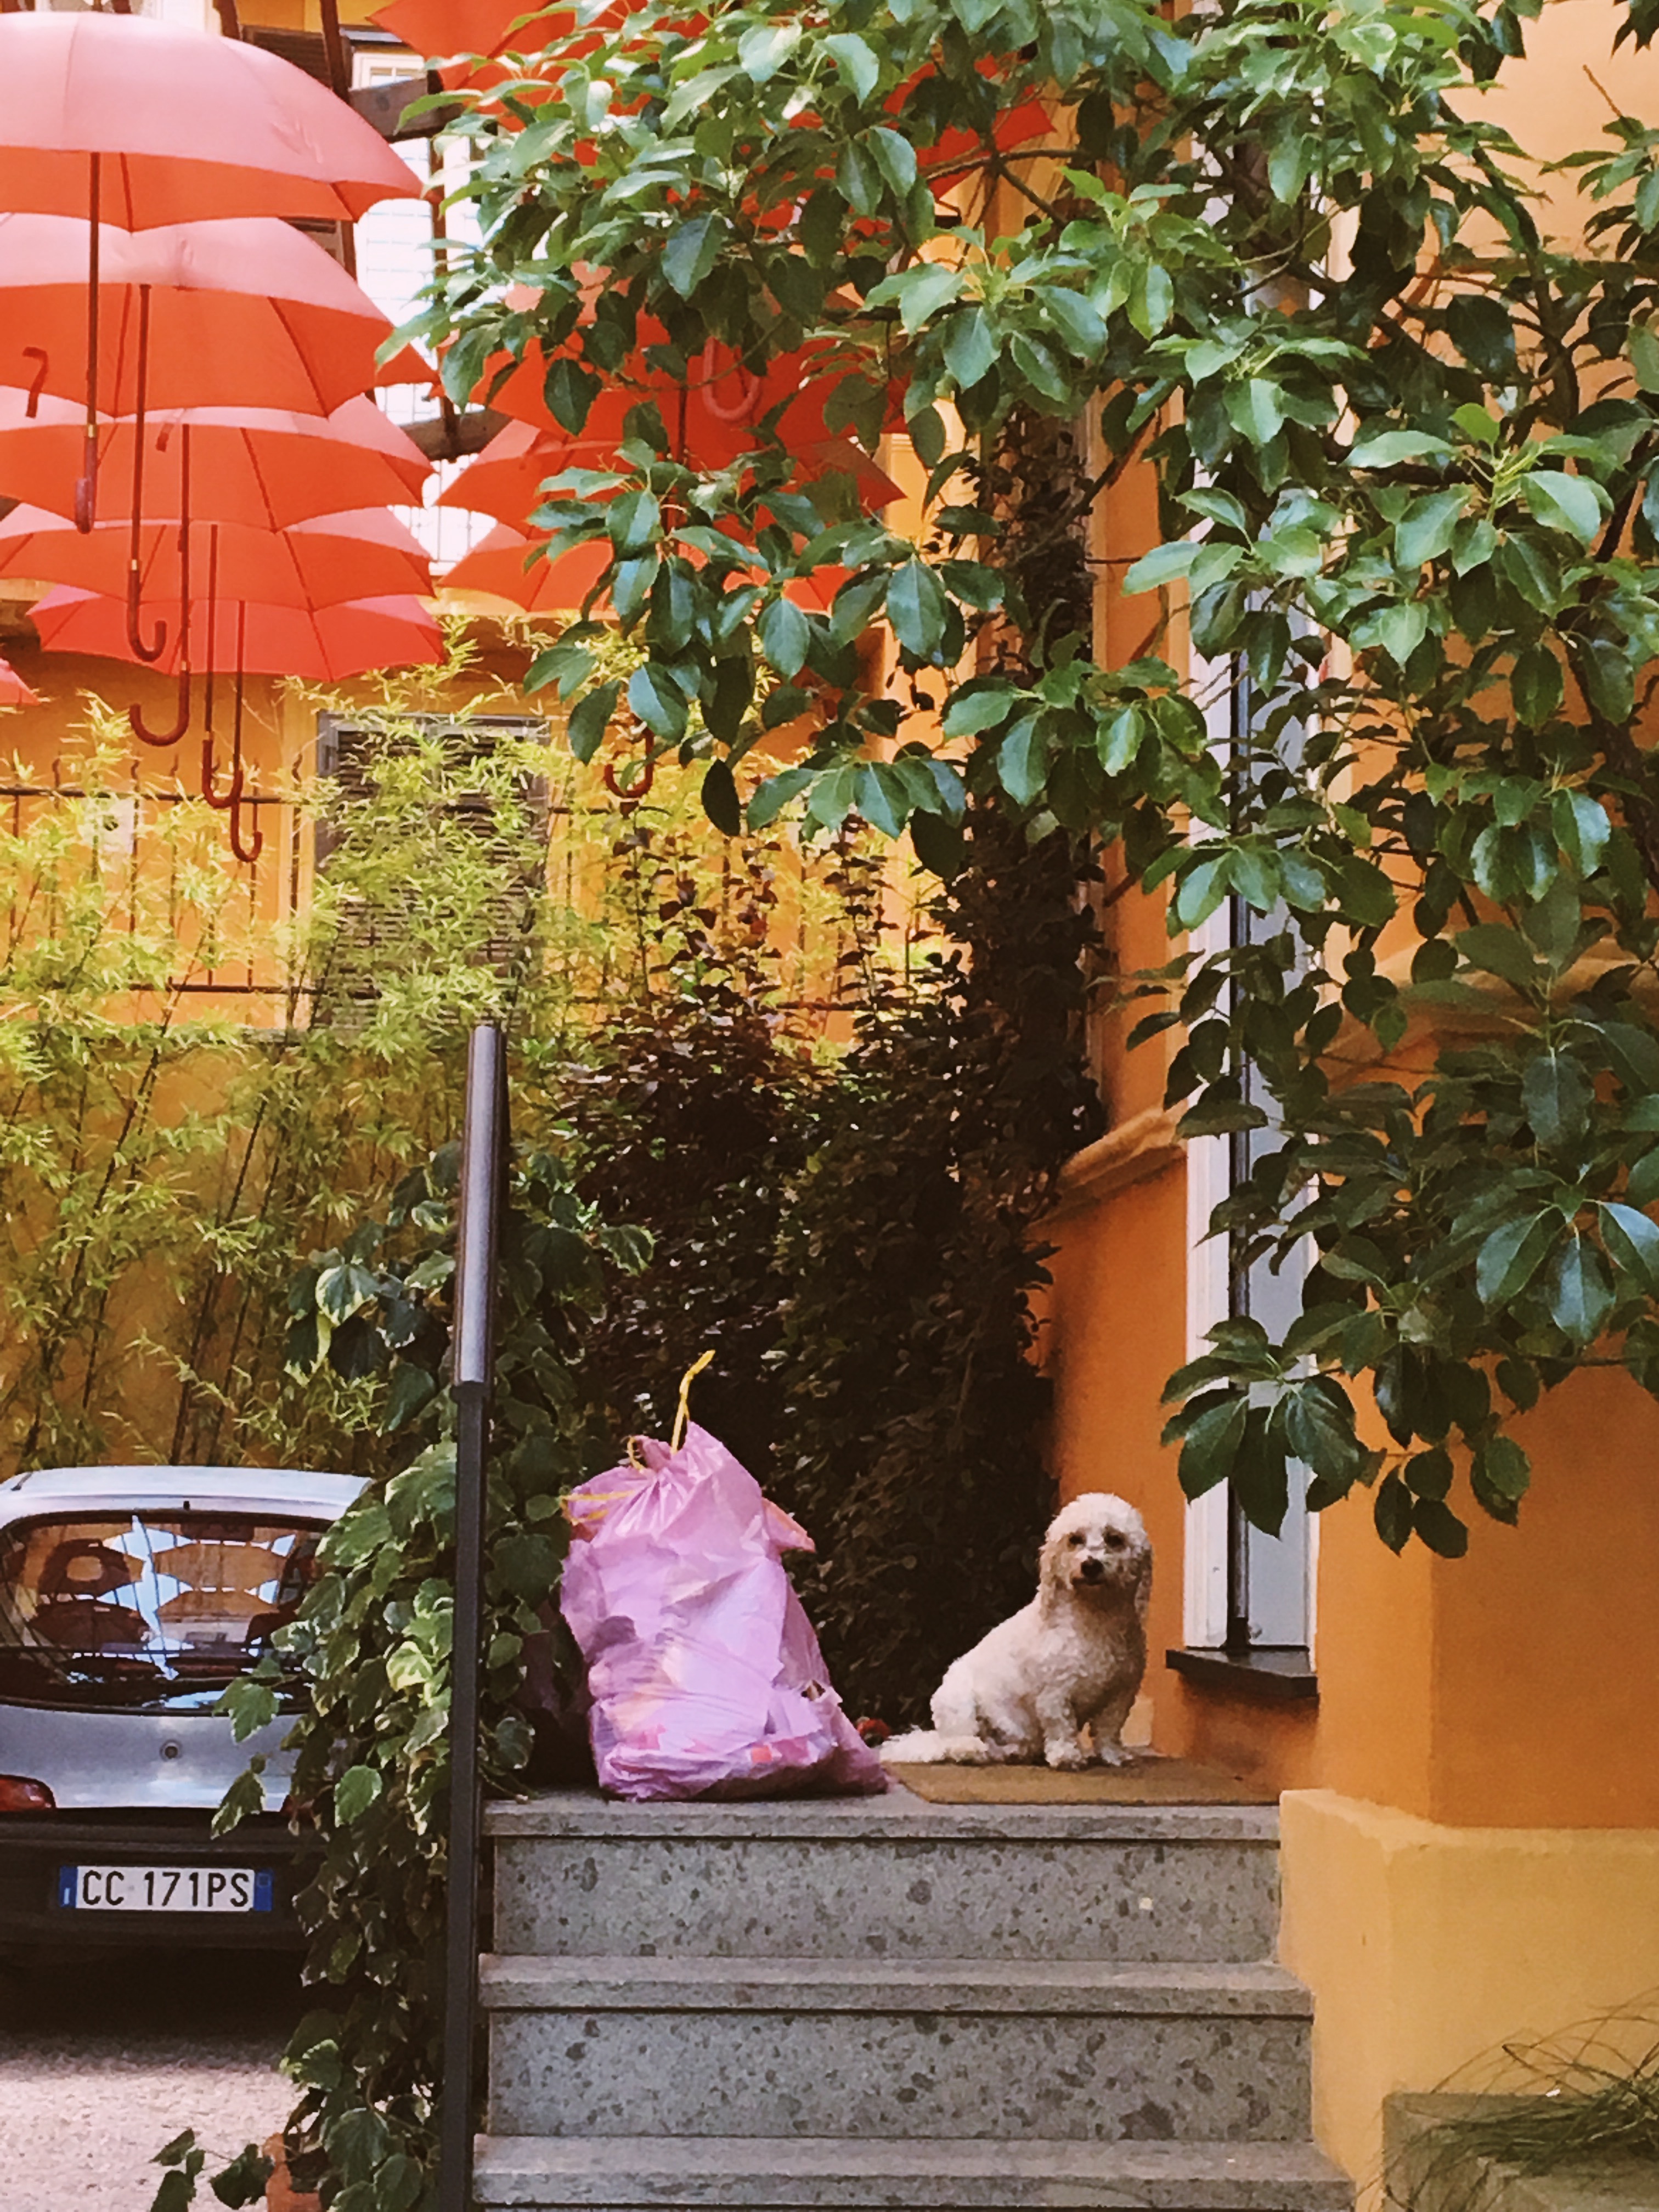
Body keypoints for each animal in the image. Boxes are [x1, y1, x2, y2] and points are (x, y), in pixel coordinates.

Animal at [881, 1493, 1151, 1771]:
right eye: (1075, 1539)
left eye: (1114, 1539)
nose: (1091, 1565)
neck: (1096, 1615)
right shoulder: (1055, 1692)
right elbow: (1061, 1726)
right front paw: (1066, 1756)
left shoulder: (1121, 1693)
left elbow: (1109, 1729)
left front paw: (1113, 1756)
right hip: (956, 1700)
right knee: (960, 1739)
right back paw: (970, 1750)